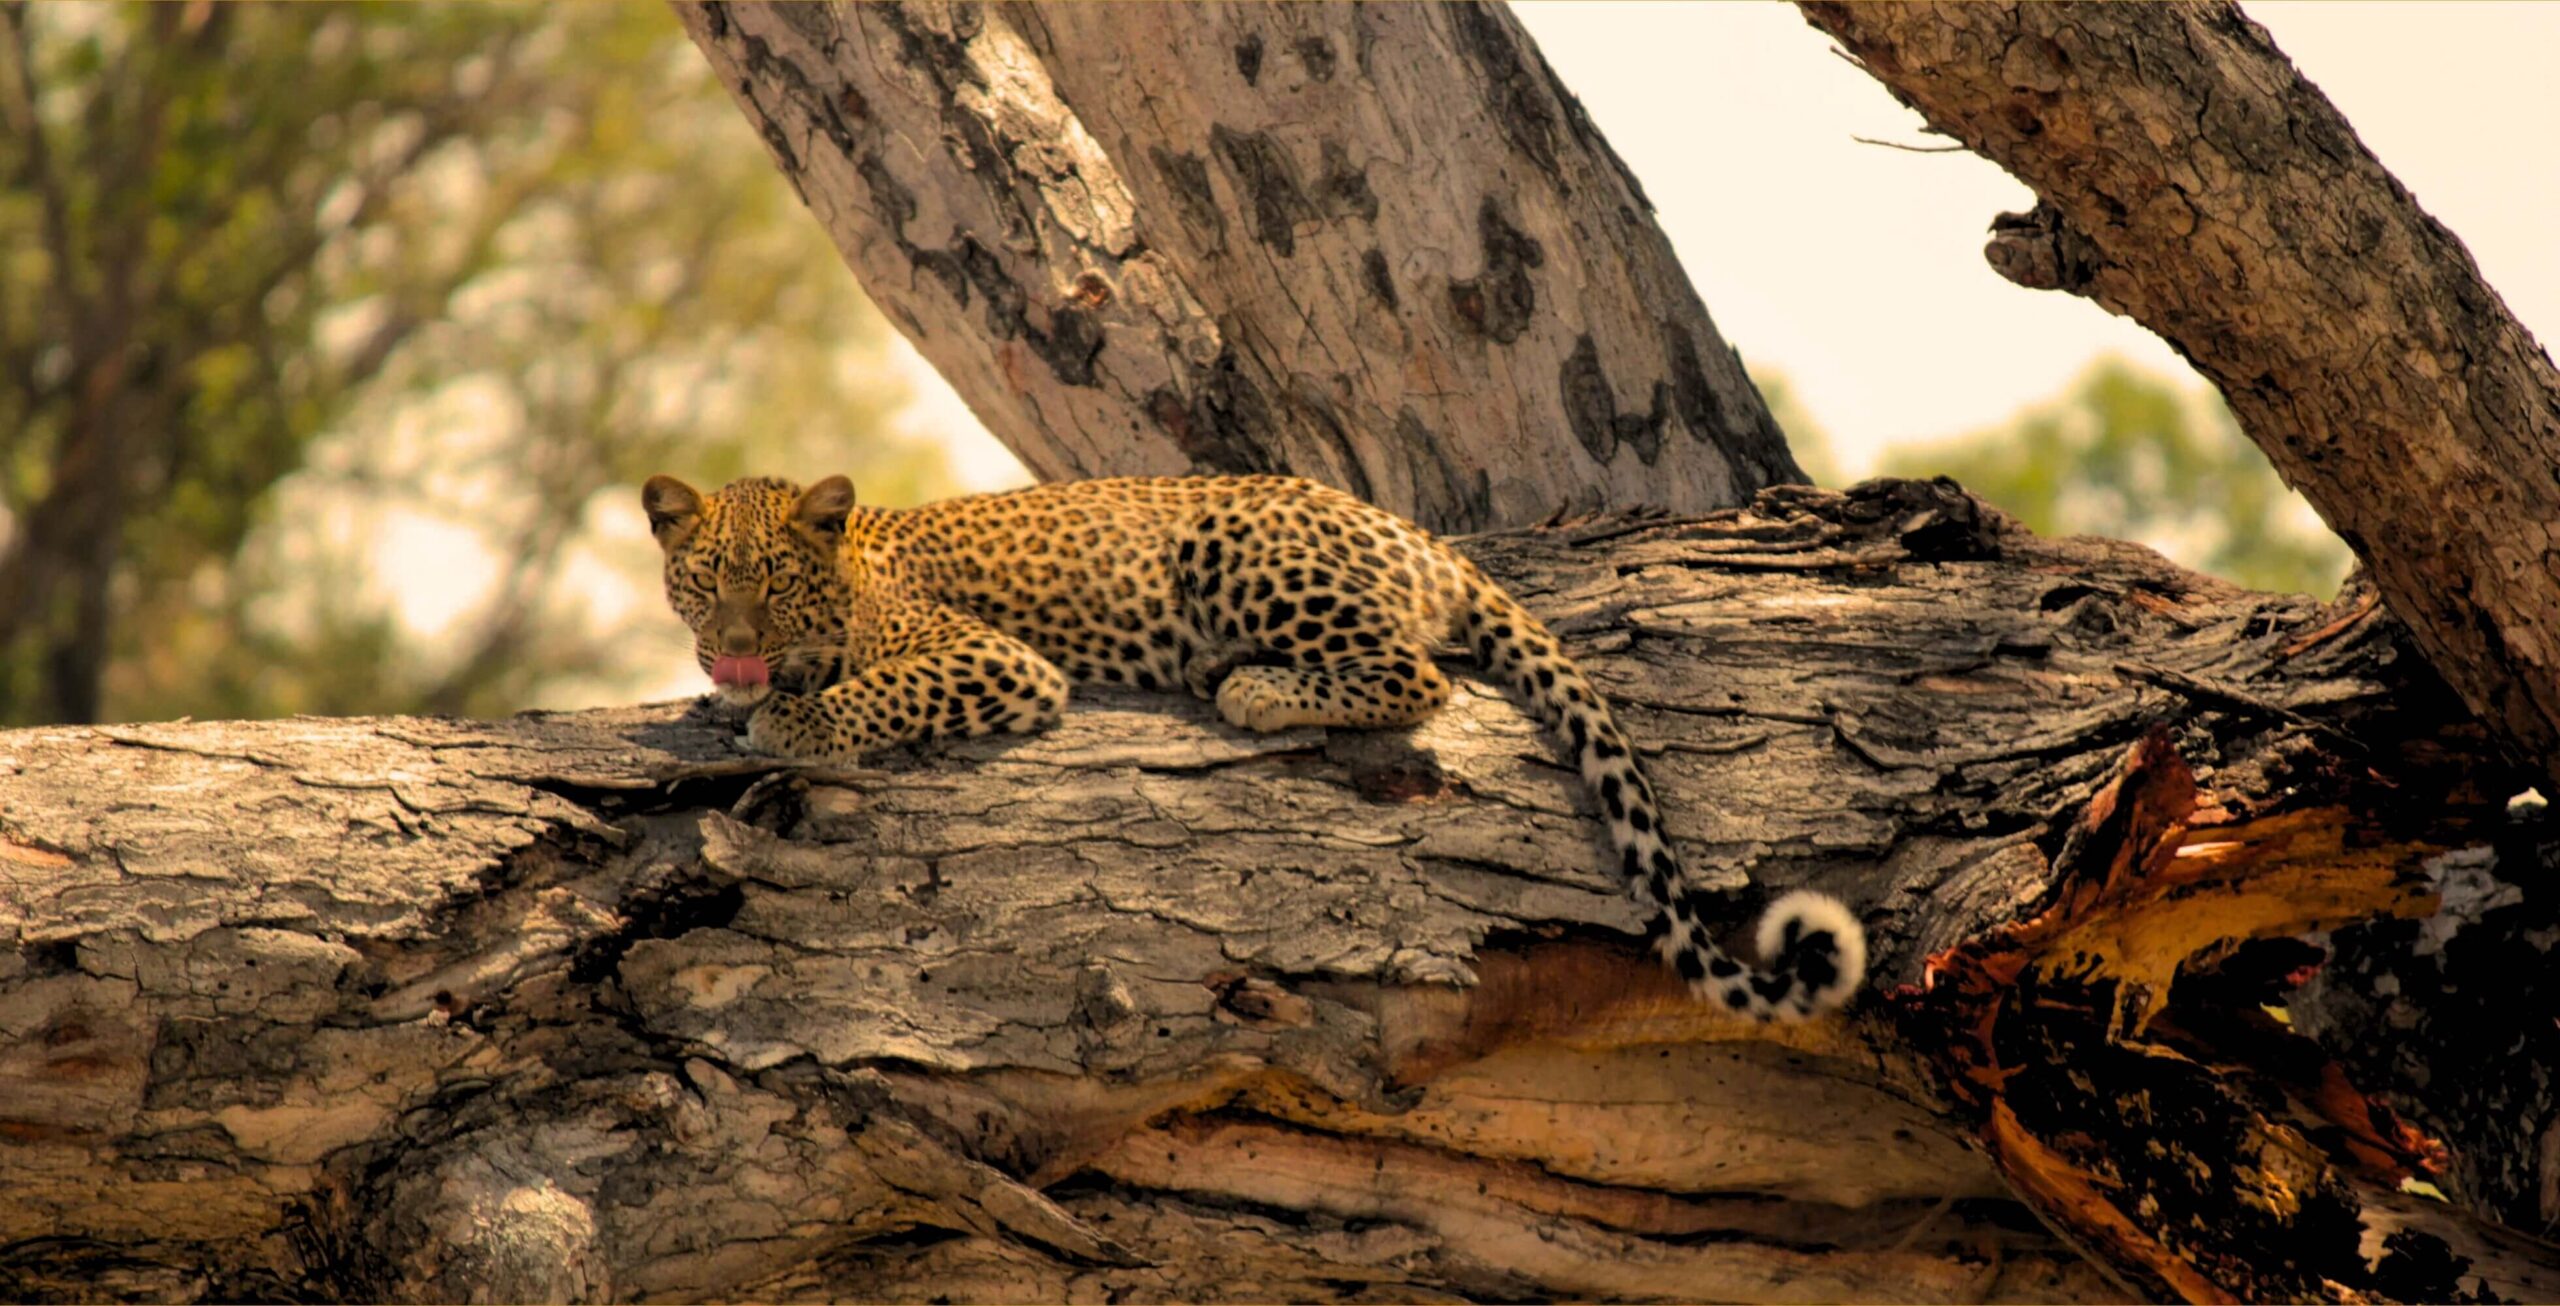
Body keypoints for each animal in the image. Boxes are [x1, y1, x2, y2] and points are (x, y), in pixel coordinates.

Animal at [643, 471, 1866, 1021]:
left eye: (776, 584)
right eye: (704, 581)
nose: (734, 651)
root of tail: (1425, 538)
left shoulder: (990, 659)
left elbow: (875, 691)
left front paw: (786, 715)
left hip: (1232, 545)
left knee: (1412, 672)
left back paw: (1250, 687)